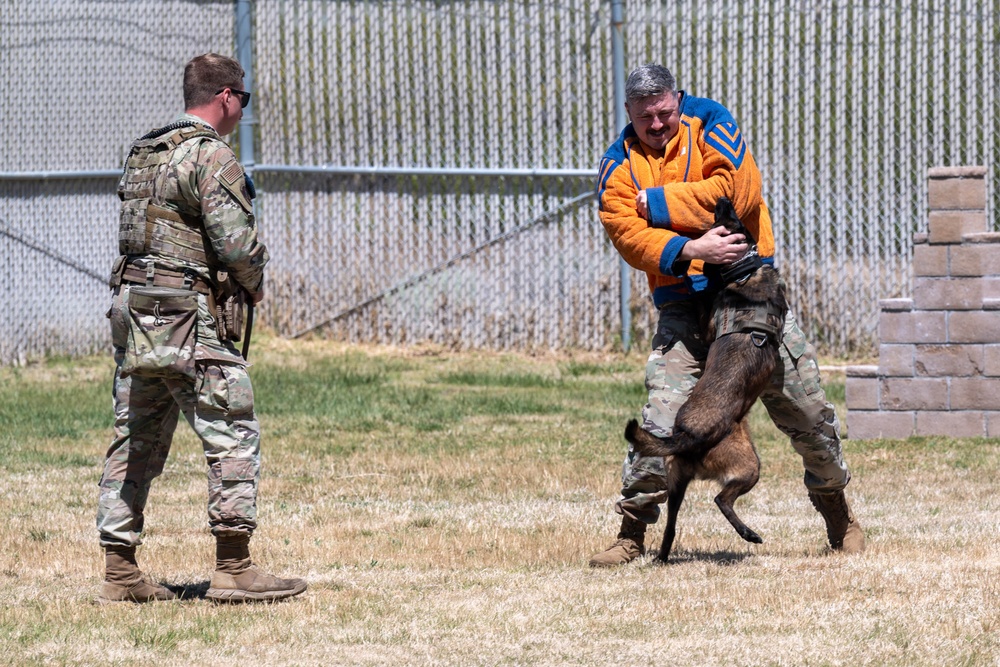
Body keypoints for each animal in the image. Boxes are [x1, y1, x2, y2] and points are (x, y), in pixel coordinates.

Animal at [628, 196, 784, 560]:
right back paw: (746, 535)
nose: (724, 198)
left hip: (699, 478)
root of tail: (689, 437)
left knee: (687, 516)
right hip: (736, 470)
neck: (745, 268)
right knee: (711, 504)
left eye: (731, 217)